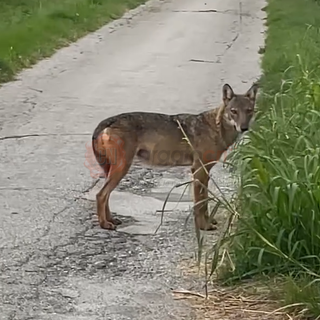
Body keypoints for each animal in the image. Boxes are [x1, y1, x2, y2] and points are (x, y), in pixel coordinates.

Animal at [91, 83, 258, 230]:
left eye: (249, 110)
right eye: (234, 111)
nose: (244, 128)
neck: (216, 128)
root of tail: (107, 121)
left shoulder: (204, 172)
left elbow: (204, 201)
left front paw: (209, 222)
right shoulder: (199, 170)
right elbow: (199, 204)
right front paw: (204, 227)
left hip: (112, 170)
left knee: (106, 195)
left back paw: (111, 220)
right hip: (122, 168)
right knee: (101, 195)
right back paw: (105, 224)